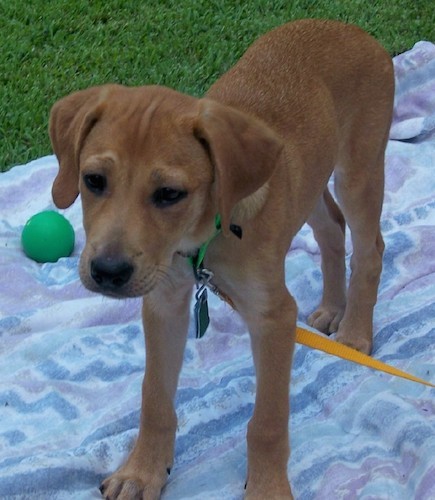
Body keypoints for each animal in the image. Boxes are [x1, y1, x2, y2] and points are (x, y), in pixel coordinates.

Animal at [48, 19, 396, 500]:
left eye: (169, 194)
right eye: (93, 180)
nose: (107, 273)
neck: (200, 240)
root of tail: (349, 27)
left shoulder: (273, 316)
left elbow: (267, 423)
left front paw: (267, 489)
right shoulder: (165, 304)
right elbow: (154, 399)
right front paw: (143, 471)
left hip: (359, 169)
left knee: (368, 249)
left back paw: (356, 332)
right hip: (311, 182)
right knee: (331, 227)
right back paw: (331, 307)